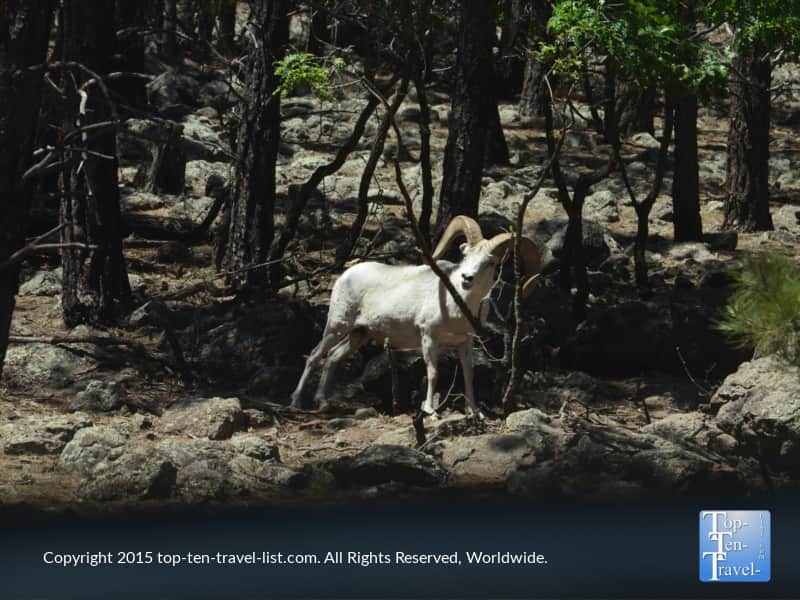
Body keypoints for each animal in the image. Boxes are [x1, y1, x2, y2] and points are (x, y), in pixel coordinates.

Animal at [290, 215, 541, 417]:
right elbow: (433, 372)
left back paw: (322, 402)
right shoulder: (428, 337)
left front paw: (475, 411)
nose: (466, 278)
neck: (456, 304)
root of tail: (345, 275)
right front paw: (430, 410)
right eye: (466, 255)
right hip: (338, 325)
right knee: (314, 355)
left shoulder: (465, 342)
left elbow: (468, 373)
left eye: (491, 263)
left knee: (332, 357)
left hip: (359, 335)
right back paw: (296, 402)